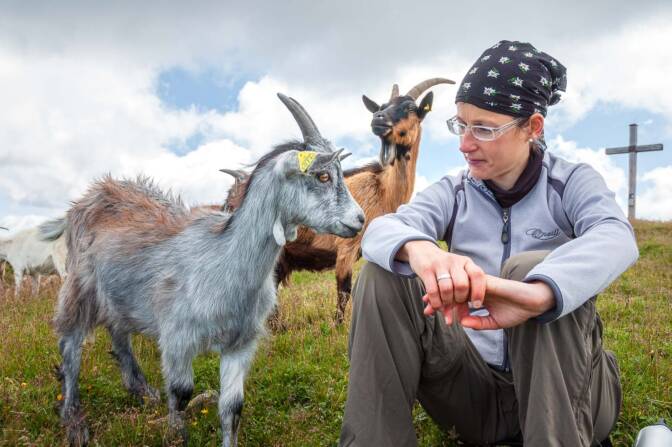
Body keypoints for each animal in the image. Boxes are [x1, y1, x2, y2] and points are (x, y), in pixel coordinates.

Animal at [54, 93, 364, 447]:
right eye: (322, 176)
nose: (360, 219)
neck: (223, 259)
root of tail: (94, 192)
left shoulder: (240, 343)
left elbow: (233, 407)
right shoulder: (176, 337)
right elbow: (181, 394)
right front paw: (175, 435)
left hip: (120, 295)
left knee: (118, 332)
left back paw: (142, 391)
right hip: (79, 286)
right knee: (70, 345)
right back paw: (74, 420)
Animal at [223, 78, 454, 323]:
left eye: (410, 108)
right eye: (381, 106)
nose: (378, 119)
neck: (382, 190)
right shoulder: (346, 248)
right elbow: (344, 291)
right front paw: (338, 325)